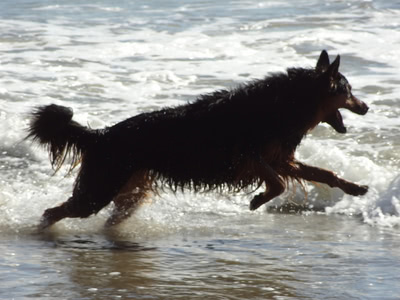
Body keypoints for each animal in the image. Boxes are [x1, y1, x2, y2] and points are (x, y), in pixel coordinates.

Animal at [28, 50, 368, 230]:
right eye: (348, 91)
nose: (366, 107)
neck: (288, 103)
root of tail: (102, 135)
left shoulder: (278, 158)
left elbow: (324, 173)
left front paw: (355, 187)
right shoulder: (246, 156)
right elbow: (278, 183)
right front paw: (259, 199)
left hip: (128, 192)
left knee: (110, 217)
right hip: (99, 189)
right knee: (54, 212)